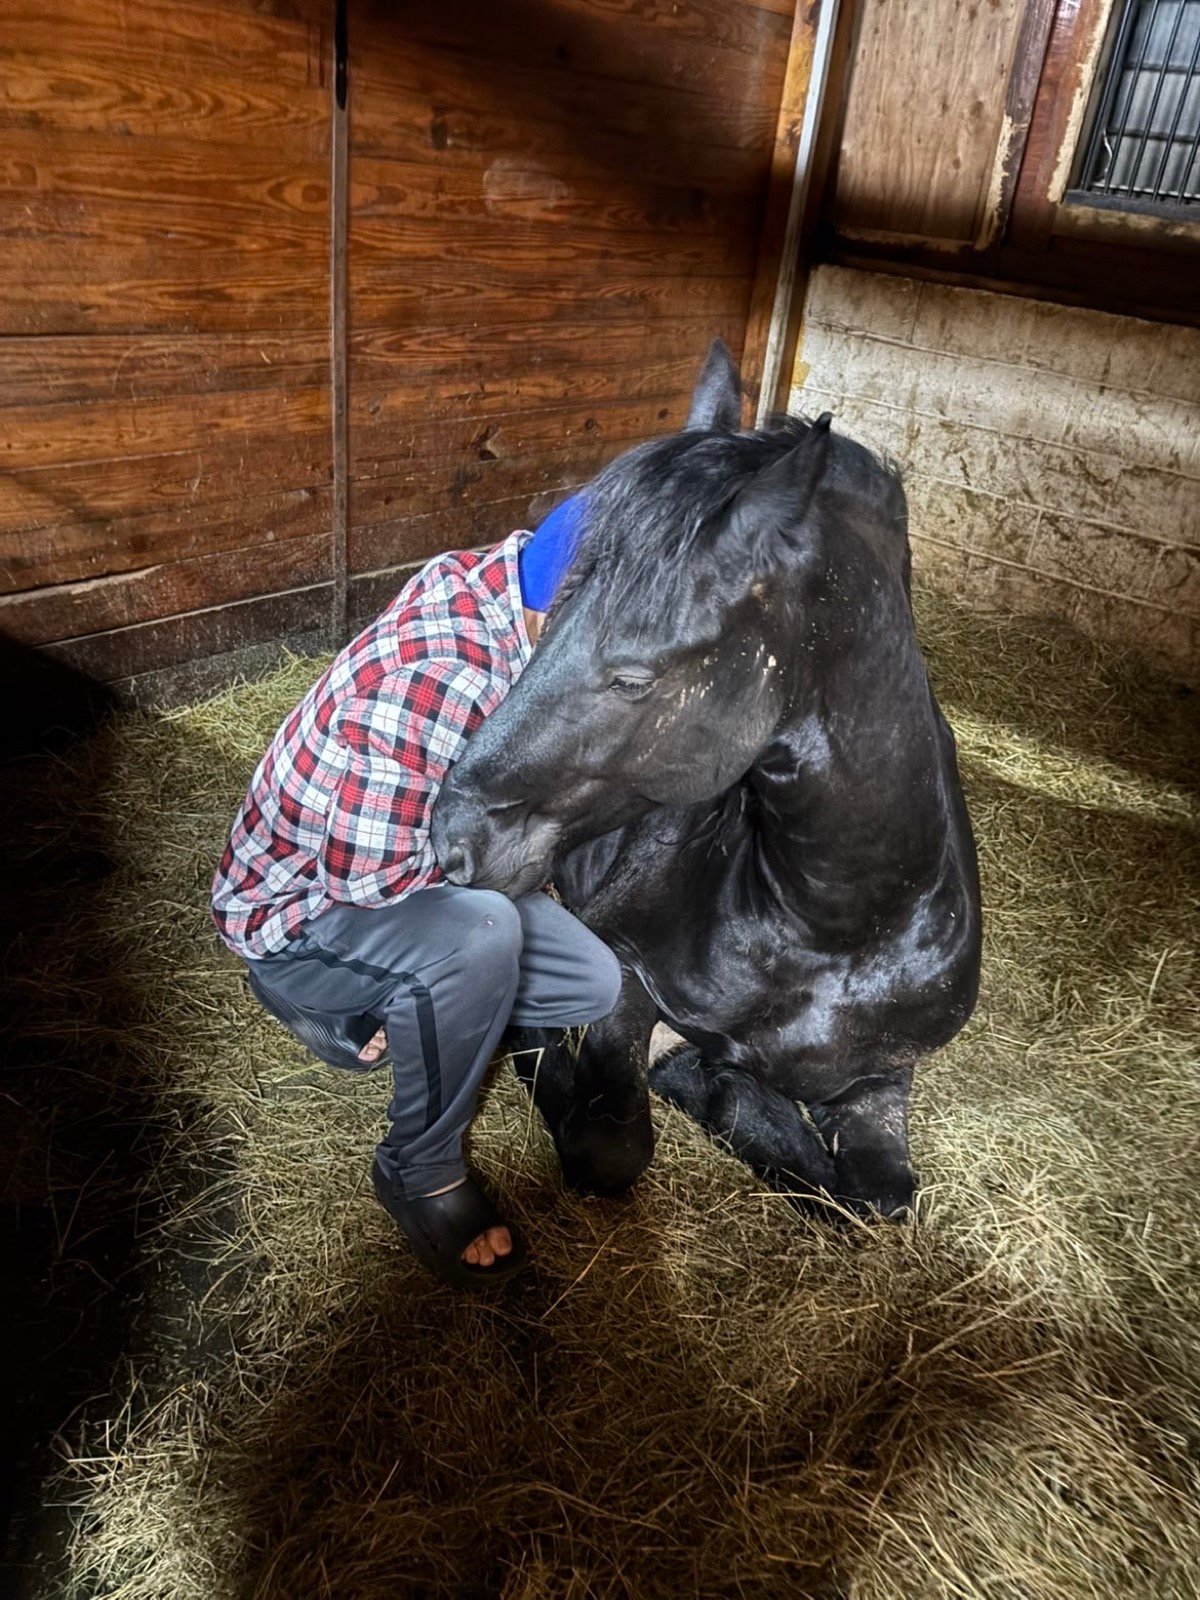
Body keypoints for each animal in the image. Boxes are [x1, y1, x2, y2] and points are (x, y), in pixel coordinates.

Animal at [430, 341, 982, 1220]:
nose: (452, 837)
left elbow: (877, 1194)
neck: (832, 929)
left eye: (633, 678)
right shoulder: (623, 975)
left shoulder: (883, 1078)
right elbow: (608, 1145)